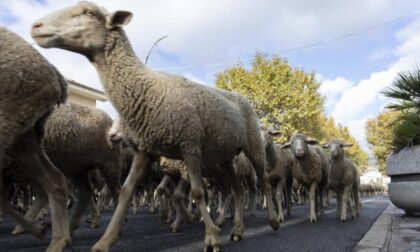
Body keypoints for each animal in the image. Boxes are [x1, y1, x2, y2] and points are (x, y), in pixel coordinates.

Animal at [32, 2, 278, 251]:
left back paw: (272, 220)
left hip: (253, 147)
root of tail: (241, 97)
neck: (148, 87)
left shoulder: (189, 147)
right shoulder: (145, 150)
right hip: (225, 157)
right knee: (238, 191)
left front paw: (210, 237)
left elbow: (198, 193)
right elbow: (125, 192)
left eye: (89, 13)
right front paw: (105, 241)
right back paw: (237, 230)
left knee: (263, 184)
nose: (36, 26)